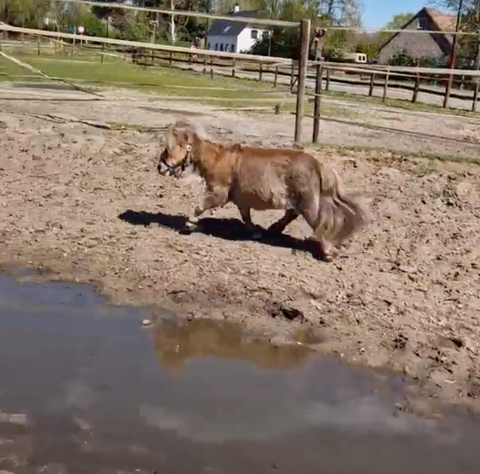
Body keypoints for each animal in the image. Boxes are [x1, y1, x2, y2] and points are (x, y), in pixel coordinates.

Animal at [157, 120, 368, 260]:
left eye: (169, 148)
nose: (159, 167)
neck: (217, 159)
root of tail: (318, 165)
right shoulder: (240, 200)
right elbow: (246, 218)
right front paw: (255, 233)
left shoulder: (219, 193)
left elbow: (199, 206)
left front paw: (189, 224)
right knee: (292, 214)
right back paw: (274, 229)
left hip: (309, 203)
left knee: (319, 224)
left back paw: (328, 251)